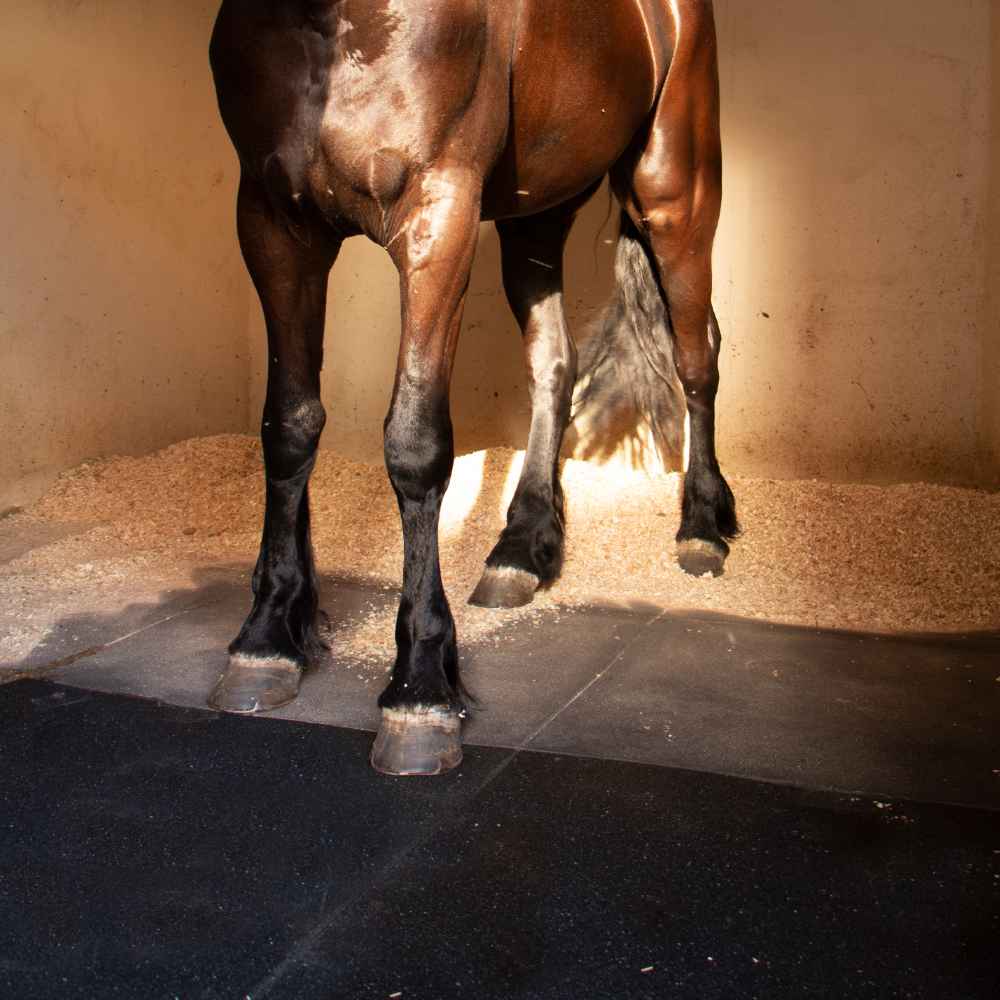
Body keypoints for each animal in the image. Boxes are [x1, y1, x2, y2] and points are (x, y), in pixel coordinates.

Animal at [207, 0, 740, 772]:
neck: (332, 29)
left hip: (675, 194)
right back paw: (521, 547)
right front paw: (270, 635)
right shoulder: (274, 225)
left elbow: (415, 443)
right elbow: (290, 424)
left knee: (697, 356)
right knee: (555, 364)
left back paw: (701, 527)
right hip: (536, 216)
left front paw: (420, 689)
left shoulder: (439, 218)